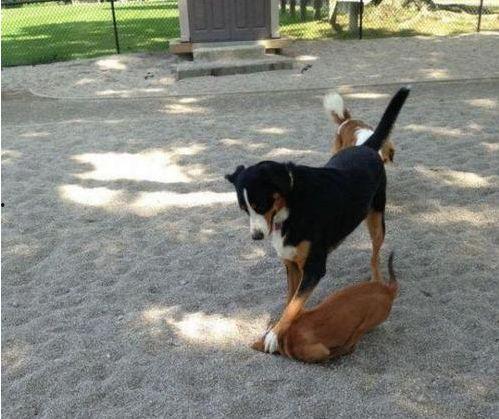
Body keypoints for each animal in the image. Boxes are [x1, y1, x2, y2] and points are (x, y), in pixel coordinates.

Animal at [252, 252, 398, 363]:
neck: (286, 335)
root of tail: (388, 290)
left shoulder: (320, 351)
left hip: (364, 325)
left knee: (350, 345)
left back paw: (344, 349)